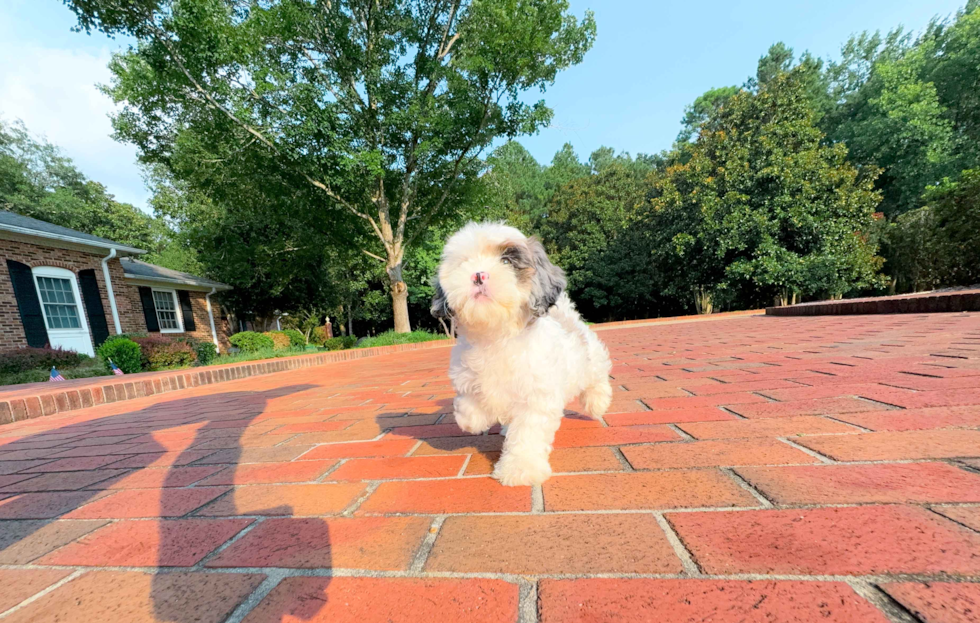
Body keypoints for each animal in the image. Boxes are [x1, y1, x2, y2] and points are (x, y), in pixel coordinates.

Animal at [430, 222, 608, 486]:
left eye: (506, 261)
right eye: (465, 262)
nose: (478, 274)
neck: (496, 335)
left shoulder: (536, 397)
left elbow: (527, 434)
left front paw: (520, 468)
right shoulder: (468, 376)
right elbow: (468, 406)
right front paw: (475, 420)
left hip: (590, 360)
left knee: (597, 377)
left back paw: (598, 403)